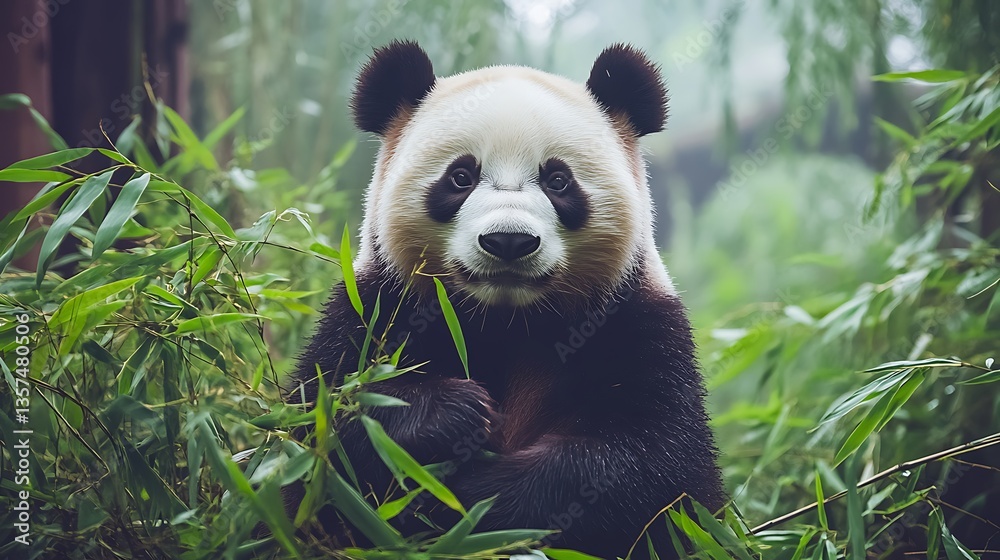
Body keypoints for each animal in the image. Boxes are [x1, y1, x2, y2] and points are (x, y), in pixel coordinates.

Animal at [289, 40, 725, 558]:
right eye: (460, 176)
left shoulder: (637, 324)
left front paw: (477, 502)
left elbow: (649, 465)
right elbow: (327, 420)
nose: (509, 241)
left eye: (558, 180)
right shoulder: (380, 306)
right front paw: (455, 415)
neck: (508, 318)